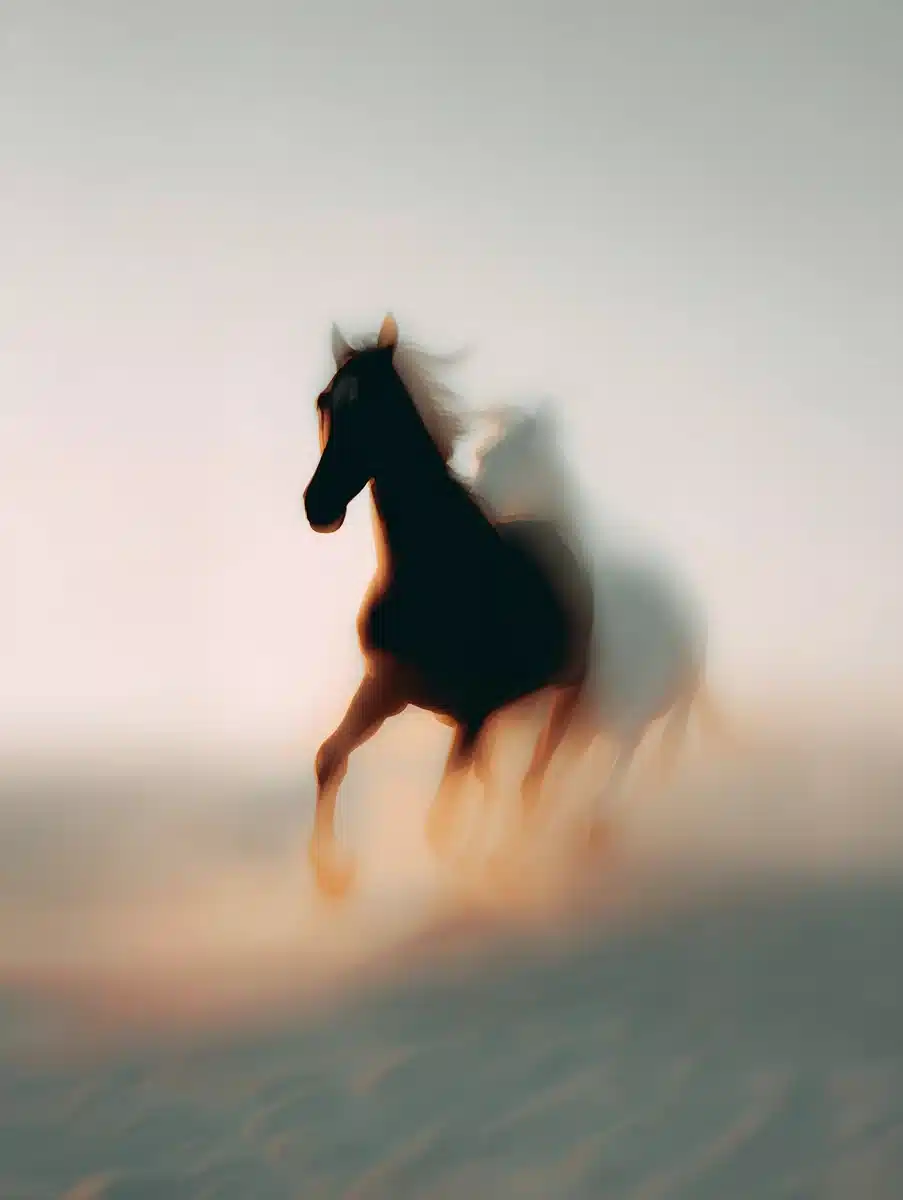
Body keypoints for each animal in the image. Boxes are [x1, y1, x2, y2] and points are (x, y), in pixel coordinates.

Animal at [301, 314, 596, 898]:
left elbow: (439, 824)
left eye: (377, 405)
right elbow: (330, 758)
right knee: (496, 781)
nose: (318, 506)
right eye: (324, 400)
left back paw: (509, 857)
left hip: (565, 694)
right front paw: (333, 877)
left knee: (532, 780)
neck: (432, 575)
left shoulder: (474, 711)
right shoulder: (387, 688)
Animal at [470, 400, 728, 826]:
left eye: (518, 452)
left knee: (639, 761)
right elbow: (496, 778)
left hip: (664, 710)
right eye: (482, 454)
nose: (474, 501)